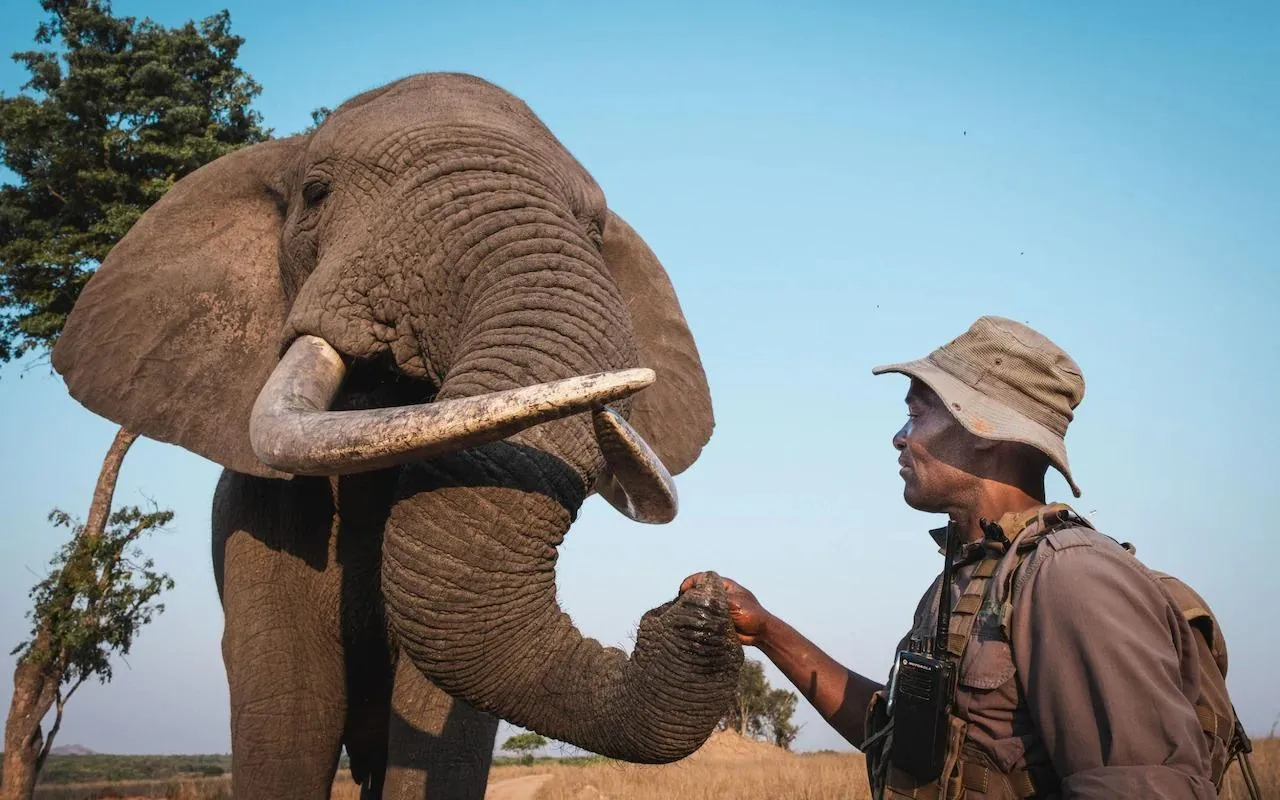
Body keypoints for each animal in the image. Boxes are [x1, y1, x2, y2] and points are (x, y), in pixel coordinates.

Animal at [49, 73, 747, 798]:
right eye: (315, 193)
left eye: (594, 228)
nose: (703, 594)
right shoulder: (257, 523)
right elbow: (288, 710)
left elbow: (440, 722)